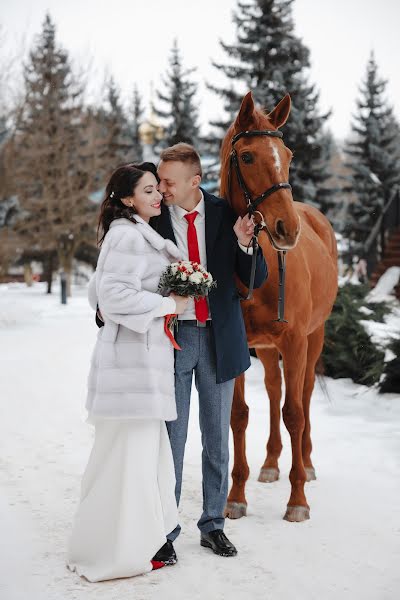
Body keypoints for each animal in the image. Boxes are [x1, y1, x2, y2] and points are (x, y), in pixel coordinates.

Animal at [220, 91, 340, 524]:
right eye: (248, 156)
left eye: (287, 154)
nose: (288, 228)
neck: (260, 265)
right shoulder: (238, 344)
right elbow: (239, 414)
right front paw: (236, 496)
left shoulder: (295, 341)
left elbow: (295, 413)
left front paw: (298, 499)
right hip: (269, 349)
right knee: (274, 389)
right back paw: (271, 463)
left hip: (313, 339)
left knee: (301, 395)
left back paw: (307, 463)